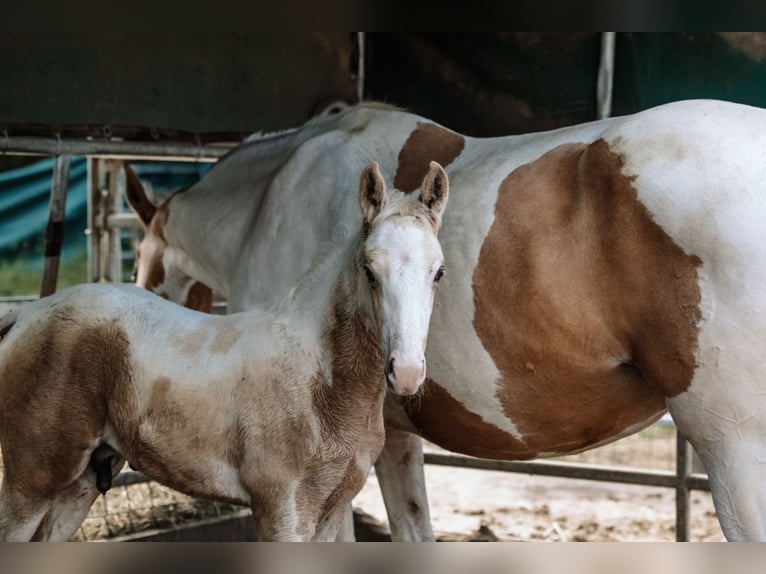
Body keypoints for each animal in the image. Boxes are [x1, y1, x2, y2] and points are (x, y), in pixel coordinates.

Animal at [0, 162, 450, 544]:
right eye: (369, 270)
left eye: (439, 272)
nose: (406, 372)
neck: (319, 382)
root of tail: (24, 314)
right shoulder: (282, 509)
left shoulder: (332, 509)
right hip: (30, 483)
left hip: (79, 484)